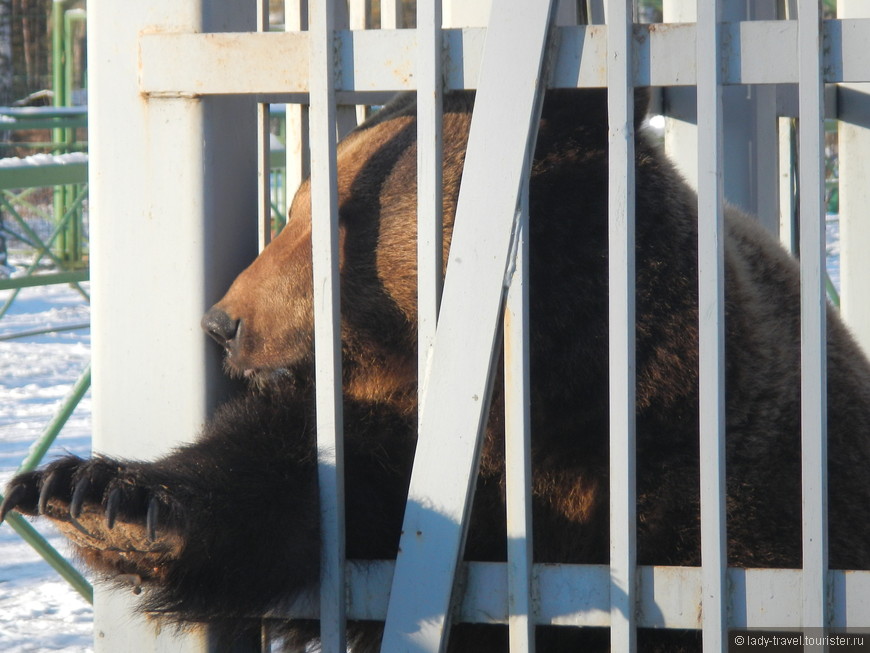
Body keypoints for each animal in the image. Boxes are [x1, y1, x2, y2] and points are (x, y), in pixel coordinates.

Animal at [1, 89, 870, 648]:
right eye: (295, 206)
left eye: (340, 213)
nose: (223, 322)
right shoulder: (393, 445)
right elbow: (281, 478)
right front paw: (94, 496)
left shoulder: (723, 482)